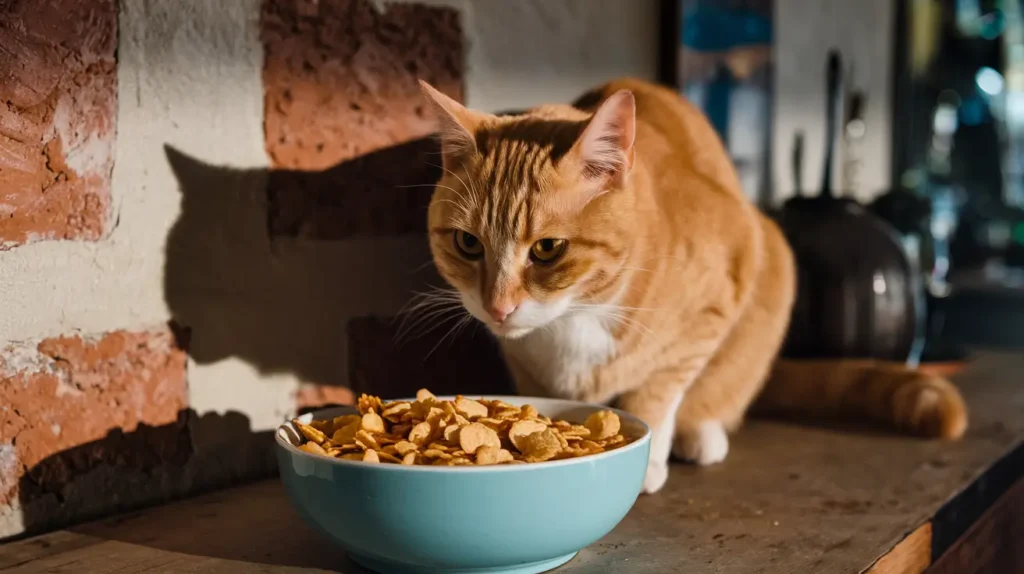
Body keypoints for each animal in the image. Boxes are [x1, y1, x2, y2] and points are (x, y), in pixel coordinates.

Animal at [415, 79, 966, 493]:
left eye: (549, 249)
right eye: (467, 243)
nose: (498, 308)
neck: (577, 317)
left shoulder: (714, 304)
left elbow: (657, 393)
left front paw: (649, 460)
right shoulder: (526, 367)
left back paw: (702, 433)